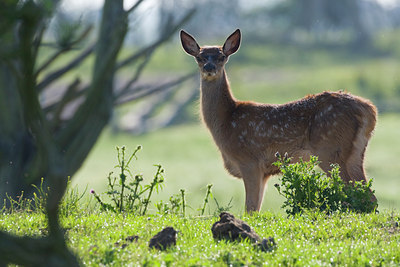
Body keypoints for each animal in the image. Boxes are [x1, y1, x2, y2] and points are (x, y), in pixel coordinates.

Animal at [180, 28, 376, 214]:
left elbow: (250, 209)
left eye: (222, 56)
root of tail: (369, 110)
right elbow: (256, 208)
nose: (209, 67)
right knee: (368, 194)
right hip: (355, 152)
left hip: (330, 149)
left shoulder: (249, 161)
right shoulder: (264, 171)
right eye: (199, 57)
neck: (226, 121)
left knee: (353, 191)